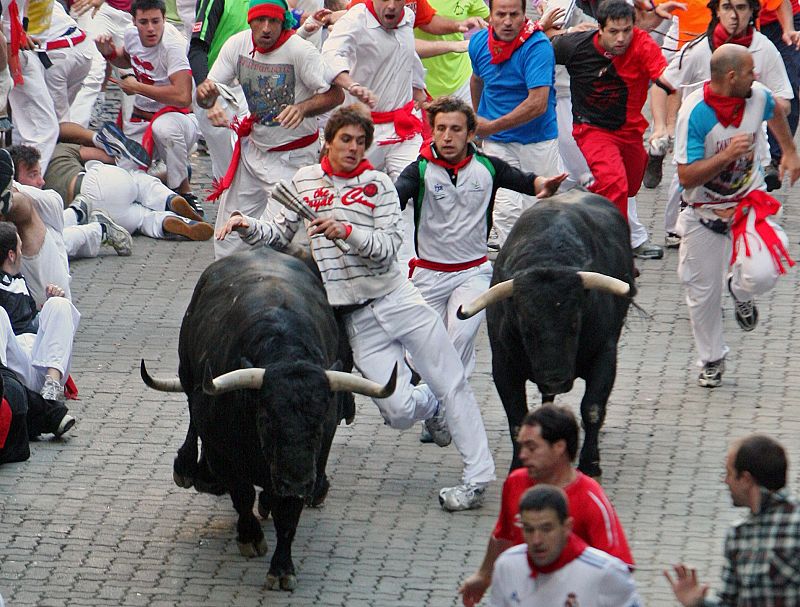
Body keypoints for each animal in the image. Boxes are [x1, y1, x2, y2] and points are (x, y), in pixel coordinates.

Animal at [144, 247, 396, 588]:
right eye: (267, 420)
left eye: (319, 425)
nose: (296, 482)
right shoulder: (223, 452)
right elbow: (241, 493)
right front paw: (250, 537)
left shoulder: (310, 462)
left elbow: (287, 514)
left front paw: (281, 567)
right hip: (188, 373)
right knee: (190, 410)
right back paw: (188, 469)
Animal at [460, 191, 636, 480]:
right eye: (526, 328)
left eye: (575, 322)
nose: (555, 379)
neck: (548, 256)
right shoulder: (503, 364)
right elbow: (517, 418)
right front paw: (518, 466)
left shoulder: (605, 354)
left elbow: (592, 408)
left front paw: (590, 464)